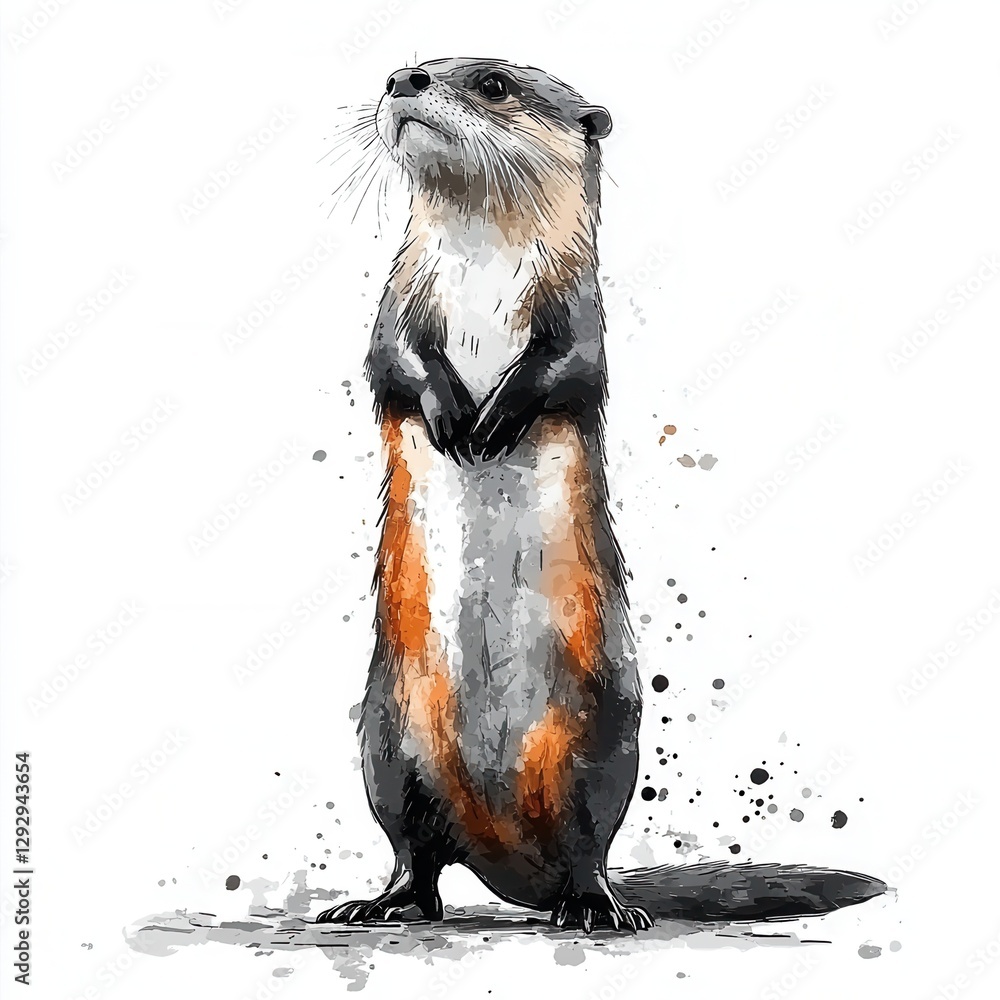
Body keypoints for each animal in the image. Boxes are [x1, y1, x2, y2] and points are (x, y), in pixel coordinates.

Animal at [317, 57, 885, 933]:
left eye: (493, 83)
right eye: (415, 62)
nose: (402, 78)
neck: (481, 282)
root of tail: (504, 851)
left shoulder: (581, 321)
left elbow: (564, 374)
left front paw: (494, 419)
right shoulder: (397, 306)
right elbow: (395, 366)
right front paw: (453, 416)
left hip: (599, 736)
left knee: (588, 843)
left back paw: (598, 907)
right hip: (386, 738)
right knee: (415, 853)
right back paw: (379, 904)